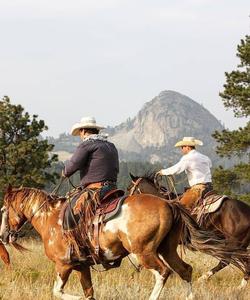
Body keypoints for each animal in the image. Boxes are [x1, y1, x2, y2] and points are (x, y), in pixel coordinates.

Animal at [0, 186, 246, 298]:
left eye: (3, 210)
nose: (3, 235)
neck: (50, 218)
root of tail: (169, 204)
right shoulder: (82, 266)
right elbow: (89, 293)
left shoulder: (64, 265)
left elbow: (58, 292)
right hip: (167, 249)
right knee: (185, 270)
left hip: (144, 252)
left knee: (163, 273)